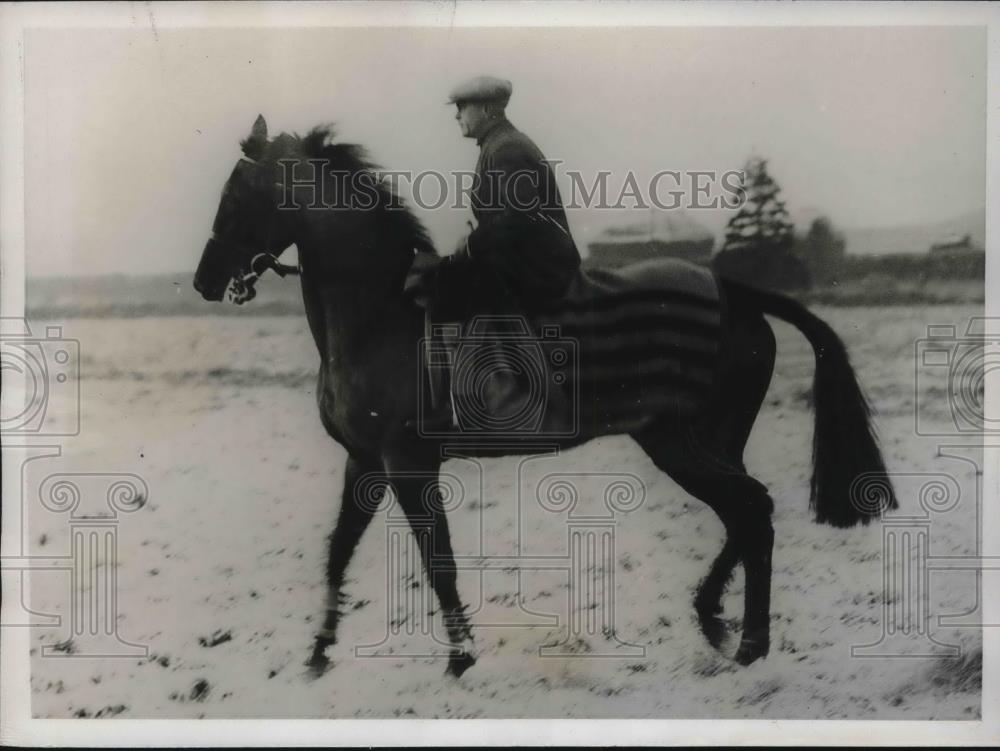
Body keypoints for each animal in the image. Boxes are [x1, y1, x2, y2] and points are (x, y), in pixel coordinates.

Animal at [191, 114, 896, 680]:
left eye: (239, 194)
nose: (203, 280)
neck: (381, 315)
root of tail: (732, 291)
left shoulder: (407, 464)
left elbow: (438, 561)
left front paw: (461, 657)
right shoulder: (363, 462)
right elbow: (337, 554)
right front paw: (317, 654)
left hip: (679, 441)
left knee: (750, 509)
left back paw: (744, 640)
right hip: (705, 440)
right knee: (748, 516)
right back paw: (723, 626)